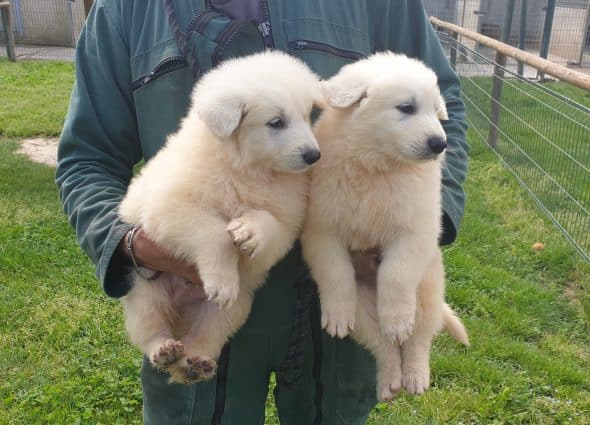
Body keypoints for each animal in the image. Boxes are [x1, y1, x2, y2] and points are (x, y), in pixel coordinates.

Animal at [119, 51, 322, 382]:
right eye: (276, 122)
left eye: (307, 116)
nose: (314, 156)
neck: (247, 168)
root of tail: (183, 313)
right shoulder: (169, 206)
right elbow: (214, 233)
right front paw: (222, 280)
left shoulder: (285, 223)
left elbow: (267, 222)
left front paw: (249, 231)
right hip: (146, 292)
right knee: (150, 329)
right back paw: (164, 349)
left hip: (230, 312)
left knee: (204, 337)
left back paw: (196, 363)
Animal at [302, 51, 470, 400]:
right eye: (406, 108)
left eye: (436, 111)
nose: (440, 143)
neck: (377, 165)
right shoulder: (322, 230)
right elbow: (335, 272)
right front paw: (336, 315)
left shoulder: (415, 231)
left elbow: (396, 273)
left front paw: (397, 320)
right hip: (365, 312)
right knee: (384, 347)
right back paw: (390, 381)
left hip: (427, 290)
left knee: (419, 339)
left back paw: (415, 375)